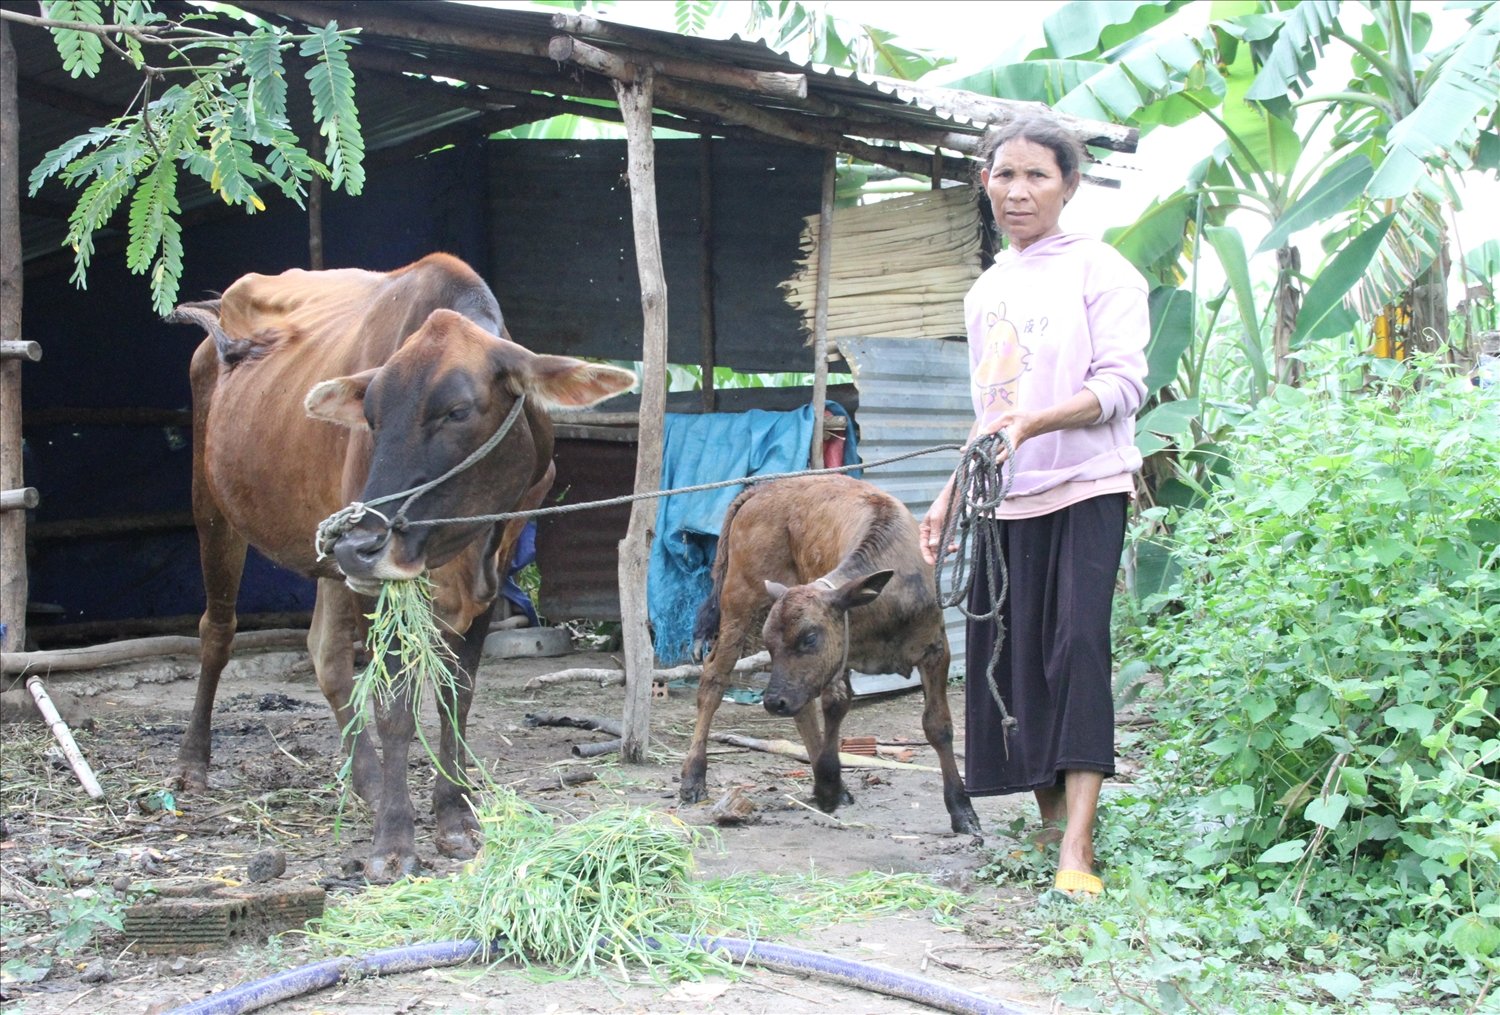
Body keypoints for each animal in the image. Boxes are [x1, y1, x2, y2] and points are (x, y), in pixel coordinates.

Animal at [170, 254, 639, 881]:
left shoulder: (492, 574)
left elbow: (456, 697)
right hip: (216, 507)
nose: (358, 546)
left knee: (325, 655)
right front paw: (393, 841)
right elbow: (394, 707)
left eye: (457, 411)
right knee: (217, 632)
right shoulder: (377, 588)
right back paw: (193, 763)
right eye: (369, 418)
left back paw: (365, 781)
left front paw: (456, 816)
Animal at [675, 470, 978, 833]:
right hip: (738, 602)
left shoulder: (935, 650)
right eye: (770, 644)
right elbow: (835, 707)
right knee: (713, 679)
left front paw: (963, 811)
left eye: (809, 638)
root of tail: (763, 489)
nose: (772, 702)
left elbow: (938, 726)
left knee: (801, 705)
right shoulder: (840, 659)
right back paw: (693, 778)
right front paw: (828, 786)